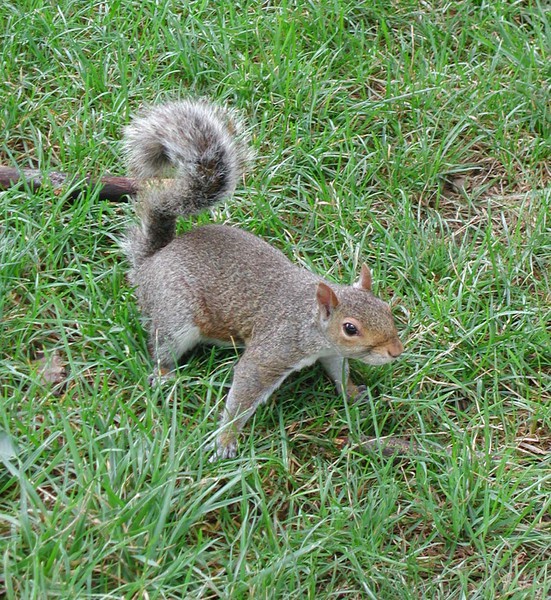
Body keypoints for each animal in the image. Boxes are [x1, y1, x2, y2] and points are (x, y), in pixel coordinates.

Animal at [123, 98, 404, 460]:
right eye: (350, 328)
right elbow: (244, 389)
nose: (396, 351)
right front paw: (225, 442)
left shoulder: (329, 353)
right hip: (176, 314)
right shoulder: (272, 353)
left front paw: (354, 393)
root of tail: (151, 261)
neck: (308, 320)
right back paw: (163, 375)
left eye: (386, 308)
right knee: (161, 346)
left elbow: (339, 372)